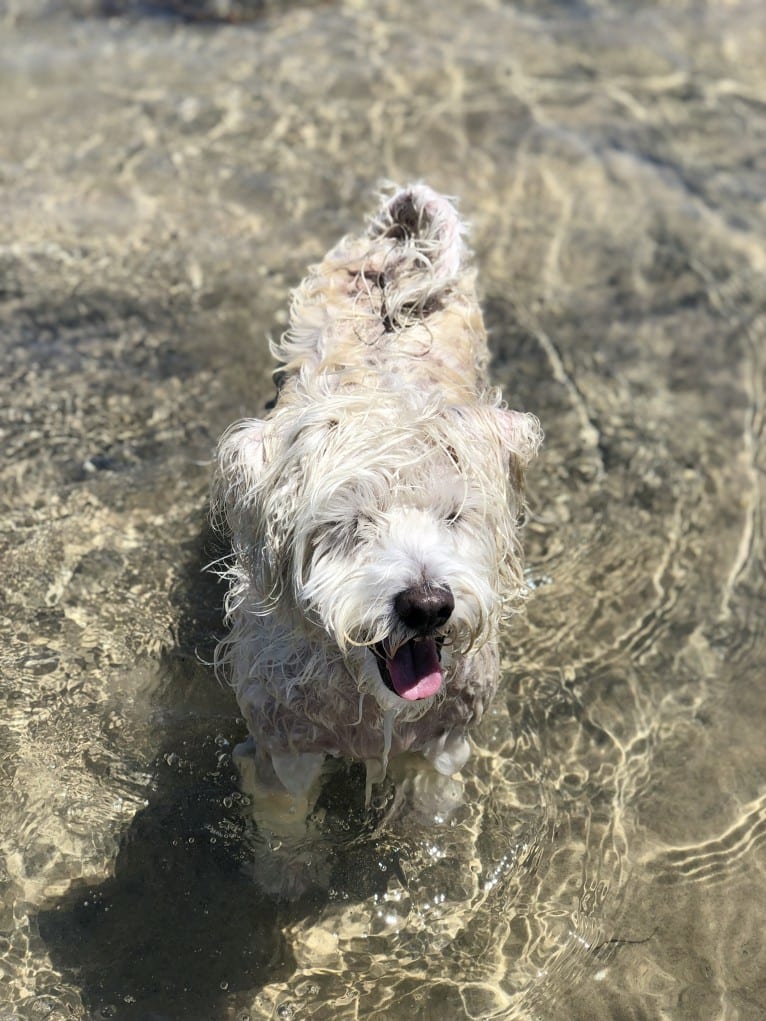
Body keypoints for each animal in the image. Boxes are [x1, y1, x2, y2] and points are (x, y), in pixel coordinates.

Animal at [213, 185, 543, 853]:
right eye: (350, 523)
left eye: (453, 515)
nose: (427, 605)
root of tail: (400, 249)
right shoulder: (283, 754)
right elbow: (287, 840)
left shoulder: (441, 748)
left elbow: (427, 820)